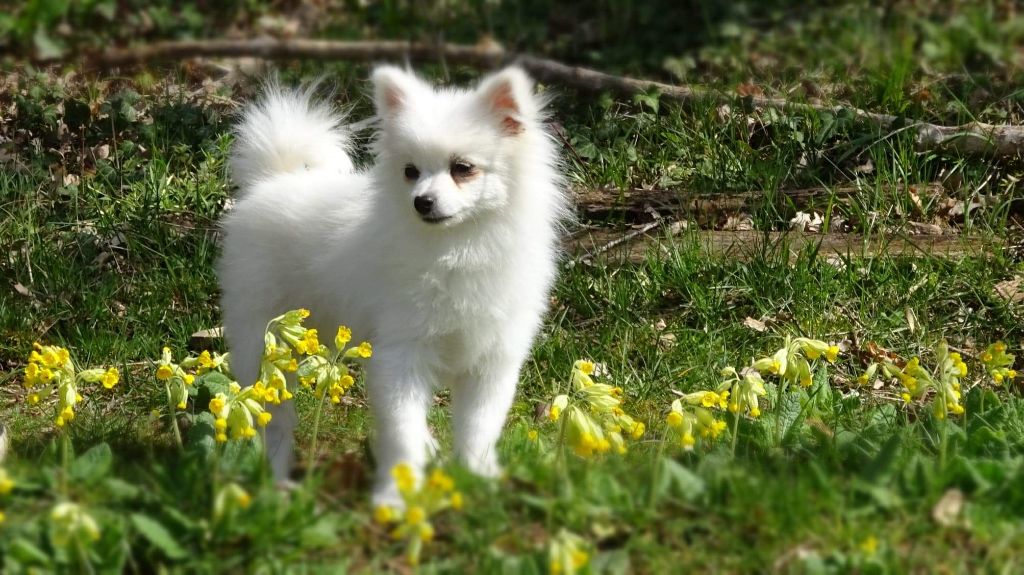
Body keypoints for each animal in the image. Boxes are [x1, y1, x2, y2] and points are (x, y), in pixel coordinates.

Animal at [219, 65, 569, 501]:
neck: (459, 248)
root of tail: (272, 179)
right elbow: (402, 433)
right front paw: (394, 496)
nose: (422, 201)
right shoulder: (402, 356)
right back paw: (277, 483)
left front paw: (479, 480)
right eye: (410, 172)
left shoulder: (491, 362)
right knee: (274, 421)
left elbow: (478, 430)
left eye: (463, 168)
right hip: (264, 346)